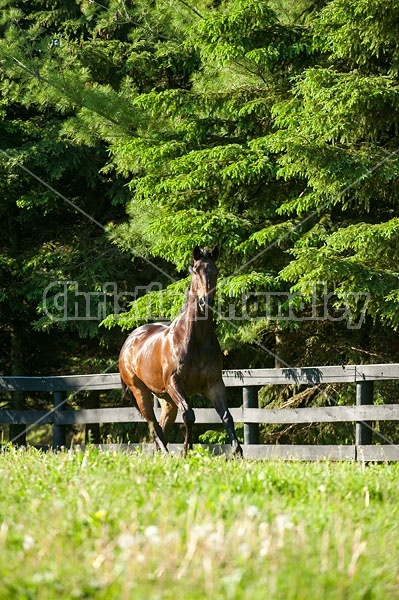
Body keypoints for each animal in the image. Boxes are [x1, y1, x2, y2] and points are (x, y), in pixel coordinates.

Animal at [119, 246, 244, 458]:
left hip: (166, 399)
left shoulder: (214, 384)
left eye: (215, 271)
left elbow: (227, 416)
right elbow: (189, 415)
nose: (205, 301)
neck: (195, 340)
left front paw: (238, 452)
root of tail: (128, 342)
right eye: (195, 271)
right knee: (154, 425)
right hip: (140, 391)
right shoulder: (174, 384)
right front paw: (186, 451)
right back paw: (166, 453)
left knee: (162, 426)